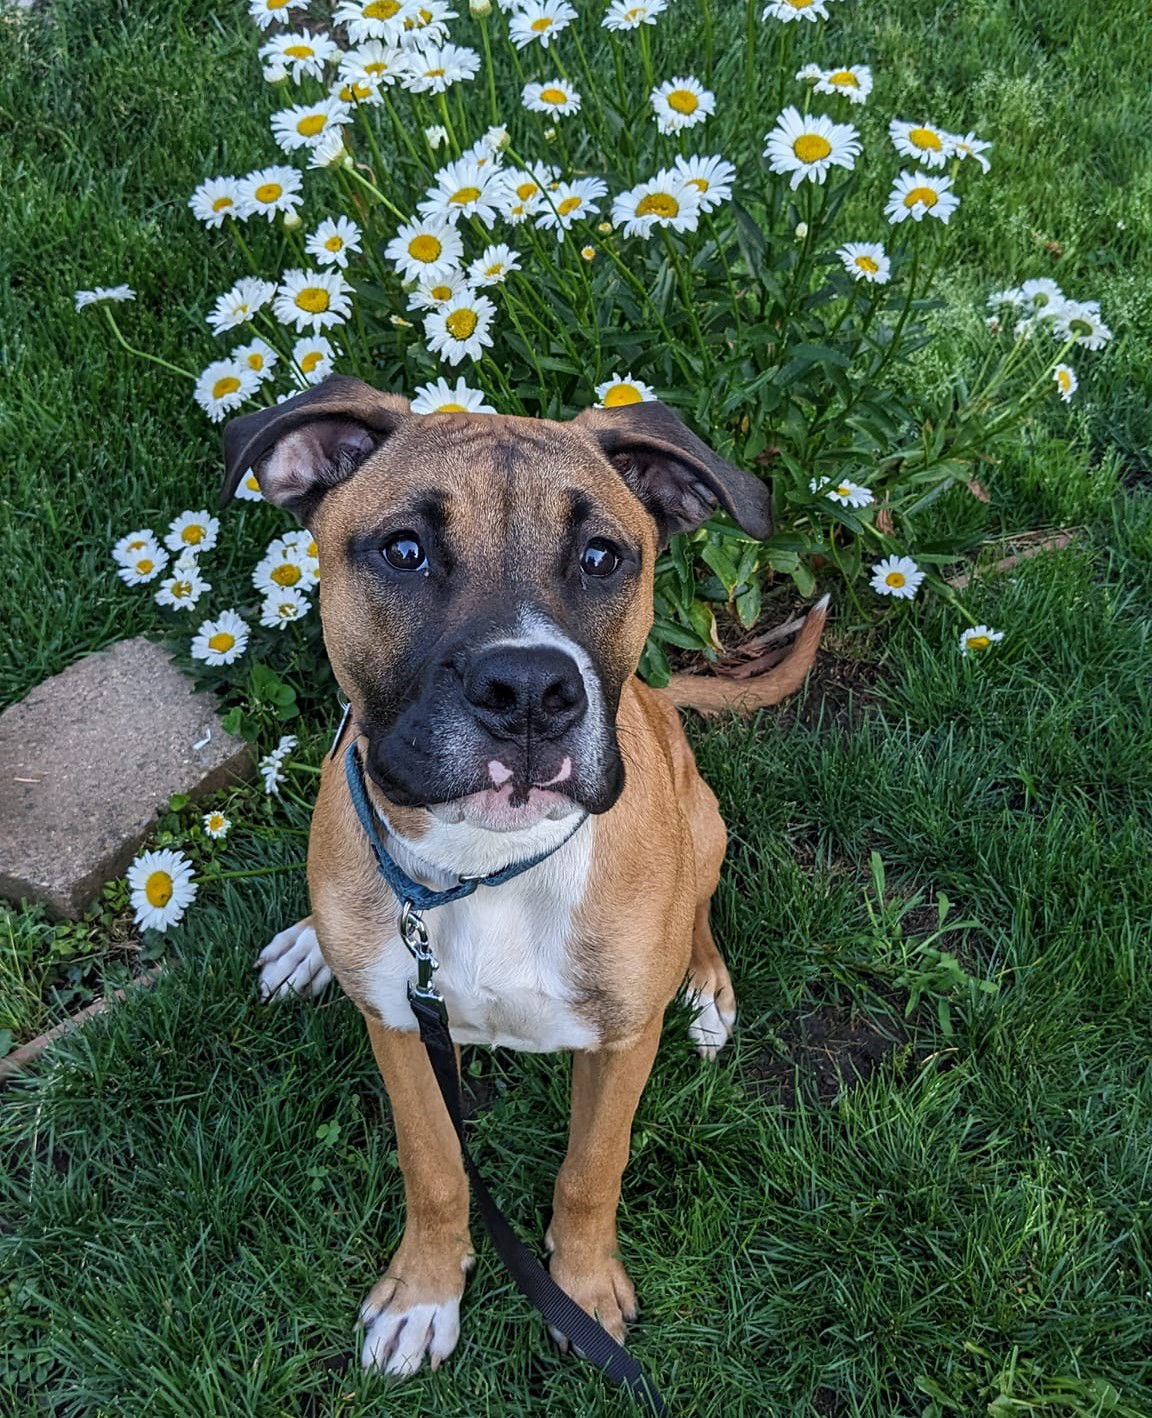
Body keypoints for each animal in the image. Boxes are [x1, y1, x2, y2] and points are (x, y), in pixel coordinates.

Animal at [219, 377, 822, 1372]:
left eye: (602, 557)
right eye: (405, 550)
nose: (531, 692)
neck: (483, 870)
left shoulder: (620, 1046)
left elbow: (591, 1170)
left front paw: (580, 1291)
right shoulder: (401, 1028)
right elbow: (434, 1167)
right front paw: (424, 1293)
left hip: (703, 819)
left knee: (700, 904)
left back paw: (703, 985)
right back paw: (309, 945)